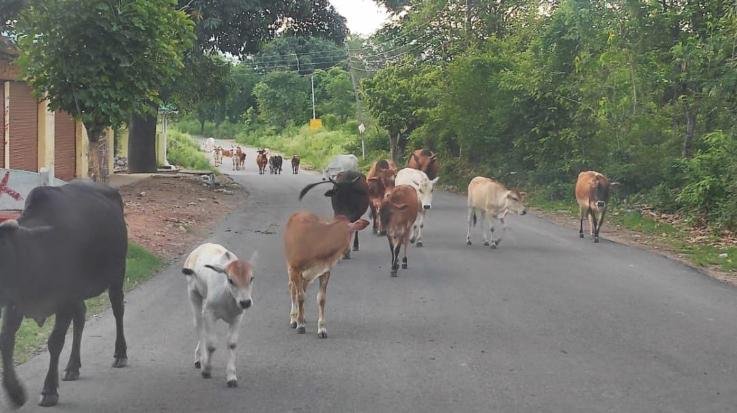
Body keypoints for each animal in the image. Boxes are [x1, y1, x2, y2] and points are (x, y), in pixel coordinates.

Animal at [0, 182, 128, 408]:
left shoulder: (64, 302)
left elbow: (55, 342)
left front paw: (49, 390)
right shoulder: (15, 305)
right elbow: (6, 341)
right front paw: (15, 392)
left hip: (116, 276)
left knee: (118, 309)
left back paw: (120, 353)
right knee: (81, 318)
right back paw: (72, 366)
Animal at [182, 243, 255, 388]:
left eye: (251, 278)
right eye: (231, 280)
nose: (245, 302)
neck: (227, 295)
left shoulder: (237, 317)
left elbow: (232, 344)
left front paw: (231, 377)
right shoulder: (210, 314)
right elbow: (211, 345)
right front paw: (206, 370)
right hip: (193, 294)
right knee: (199, 327)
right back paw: (200, 360)